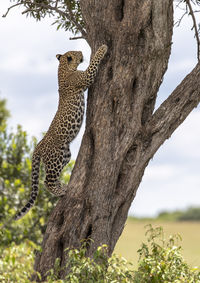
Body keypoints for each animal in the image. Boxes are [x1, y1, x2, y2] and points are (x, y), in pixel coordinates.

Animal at [14, 45, 108, 222]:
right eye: (78, 53)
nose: (82, 53)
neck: (63, 68)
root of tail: (39, 145)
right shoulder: (85, 77)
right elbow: (93, 65)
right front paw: (102, 48)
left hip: (65, 154)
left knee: (50, 178)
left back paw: (62, 186)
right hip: (55, 159)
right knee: (46, 181)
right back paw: (61, 191)